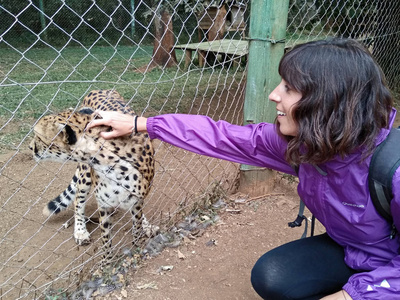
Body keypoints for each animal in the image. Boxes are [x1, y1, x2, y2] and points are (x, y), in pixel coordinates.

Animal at [29, 90, 158, 264]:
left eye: (38, 137)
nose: (30, 147)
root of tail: (98, 90)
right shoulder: (103, 205)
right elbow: (105, 239)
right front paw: (107, 263)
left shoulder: (137, 199)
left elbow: (136, 226)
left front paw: (137, 246)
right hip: (85, 175)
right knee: (78, 199)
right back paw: (80, 231)